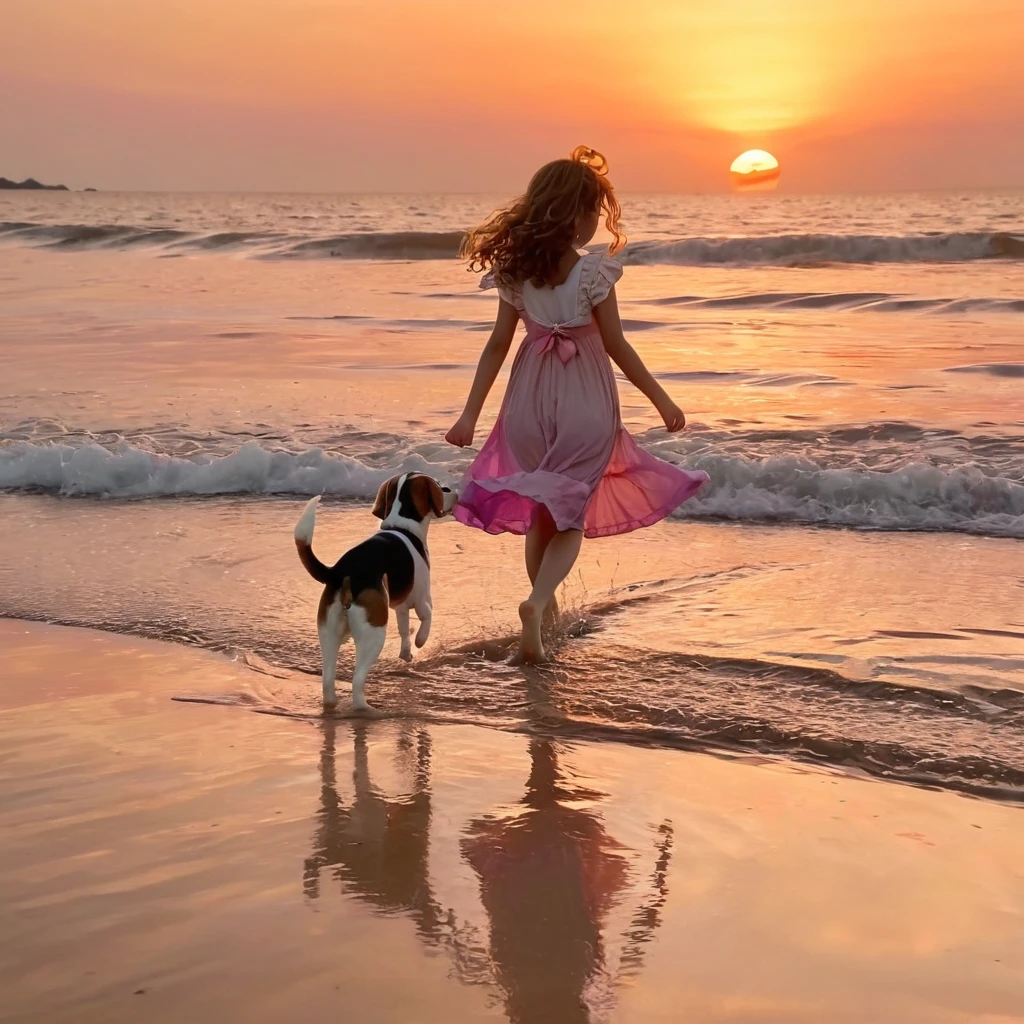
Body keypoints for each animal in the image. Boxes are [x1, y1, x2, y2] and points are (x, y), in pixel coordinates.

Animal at [296, 471, 456, 712]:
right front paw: (420, 642)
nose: (451, 490)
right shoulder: (422, 599)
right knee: (357, 681)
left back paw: (333, 703)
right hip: (374, 633)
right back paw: (367, 709)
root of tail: (342, 572)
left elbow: (404, 629)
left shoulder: (400, 606)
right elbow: (426, 620)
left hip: (328, 632)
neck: (402, 525)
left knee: (327, 680)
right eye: (437, 485)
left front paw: (406, 653)